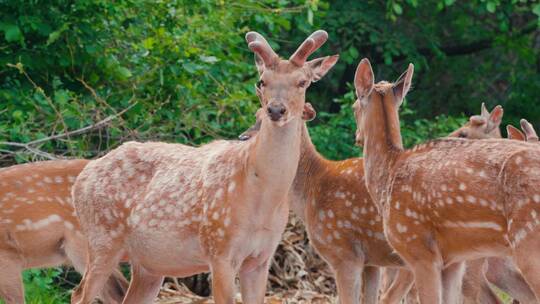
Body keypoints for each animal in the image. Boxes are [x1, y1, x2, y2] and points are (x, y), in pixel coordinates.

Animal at [70, 29, 338, 304]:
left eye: (302, 82)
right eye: (262, 81)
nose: (275, 109)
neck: (260, 194)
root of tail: (81, 179)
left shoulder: (261, 258)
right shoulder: (219, 249)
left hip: (148, 265)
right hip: (102, 238)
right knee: (78, 293)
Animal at [352, 57, 540, 304]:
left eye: (354, 107)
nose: (357, 136)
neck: (388, 173)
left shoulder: (419, 250)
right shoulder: (453, 262)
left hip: (528, 241)